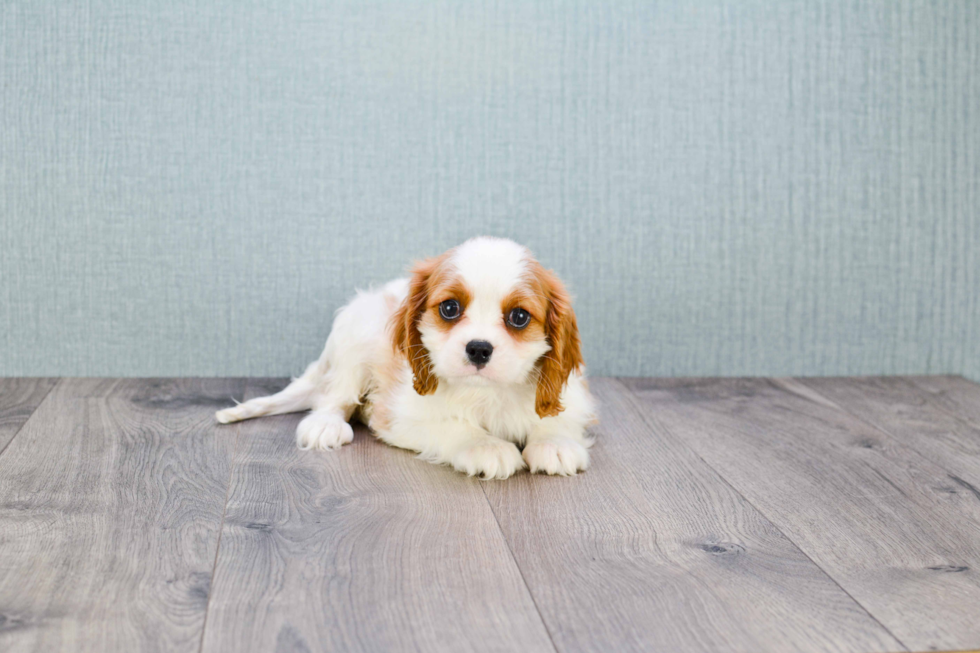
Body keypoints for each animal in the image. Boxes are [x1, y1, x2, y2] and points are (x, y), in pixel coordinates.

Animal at [217, 237, 592, 476]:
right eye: (450, 308)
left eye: (519, 317)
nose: (479, 348)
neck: (486, 393)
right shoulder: (401, 415)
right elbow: (453, 425)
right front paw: (485, 446)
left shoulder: (573, 397)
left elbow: (557, 416)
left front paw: (554, 441)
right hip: (357, 332)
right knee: (334, 396)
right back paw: (326, 424)